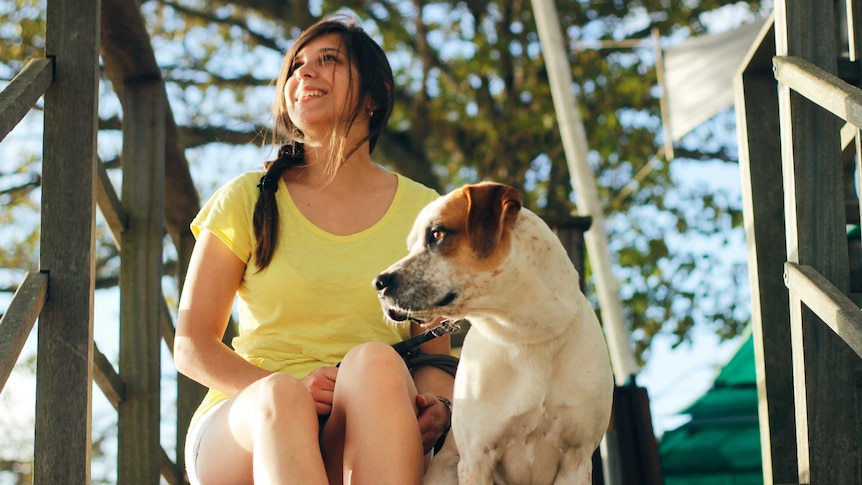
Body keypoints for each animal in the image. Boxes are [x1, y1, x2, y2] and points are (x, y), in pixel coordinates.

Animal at [374, 182, 616, 484]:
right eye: (411, 246)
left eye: (437, 234)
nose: (378, 283)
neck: (525, 336)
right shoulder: (476, 459)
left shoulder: (576, 460)